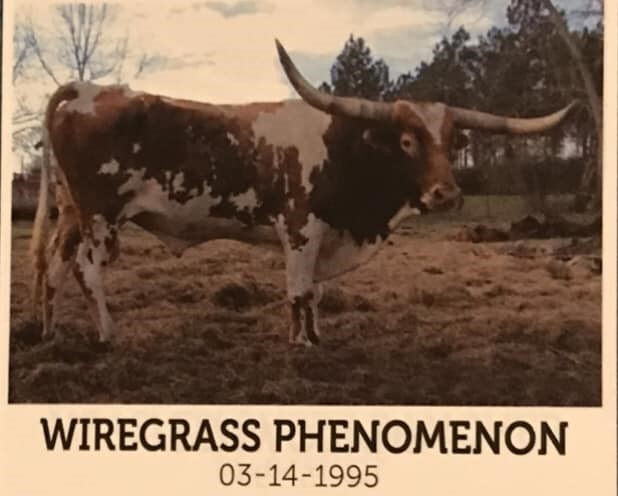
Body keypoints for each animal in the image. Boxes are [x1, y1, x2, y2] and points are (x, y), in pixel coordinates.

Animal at [30, 39, 577, 347]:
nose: (446, 194)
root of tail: (86, 88)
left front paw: (315, 335)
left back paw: (51, 334)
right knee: (86, 270)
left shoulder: (326, 236)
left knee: (55, 267)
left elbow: (314, 293)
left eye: (453, 141)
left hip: (72, 215)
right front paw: (302, 345)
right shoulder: (300, 230)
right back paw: (108, 336)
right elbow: (297, 291)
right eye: (406, 141)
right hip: (101, 217)